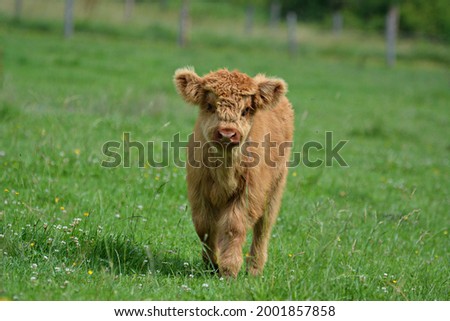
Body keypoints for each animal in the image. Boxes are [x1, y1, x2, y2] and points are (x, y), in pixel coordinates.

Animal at [173, 66, 296, 276]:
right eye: (209, 106)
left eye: (246, 110)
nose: (227, 133)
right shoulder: (198, 191)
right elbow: (205, 226)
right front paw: (212, 264)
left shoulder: (248, 194)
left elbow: (233, 226)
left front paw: (229, 268)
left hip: (275, 189)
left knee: (263, 228)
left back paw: (254, 269)